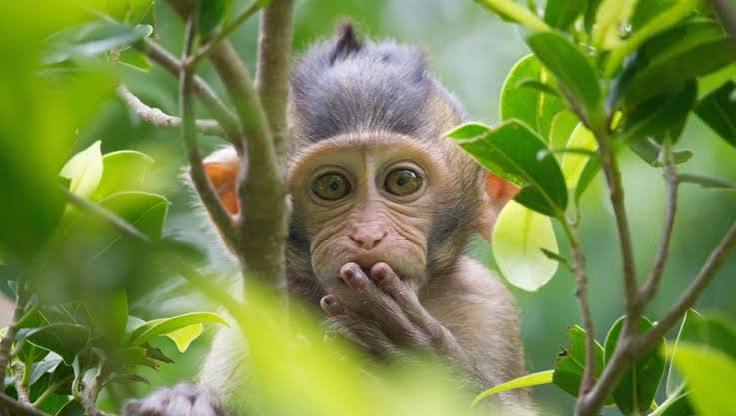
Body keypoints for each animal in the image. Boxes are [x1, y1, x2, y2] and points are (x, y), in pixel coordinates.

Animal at [125, 24, 532, 415]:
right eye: (333, 185)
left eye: (402, 181)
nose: (367, 235)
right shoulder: (253, 314)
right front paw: (185, 402)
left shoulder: (486, 306)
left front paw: (425, 360)